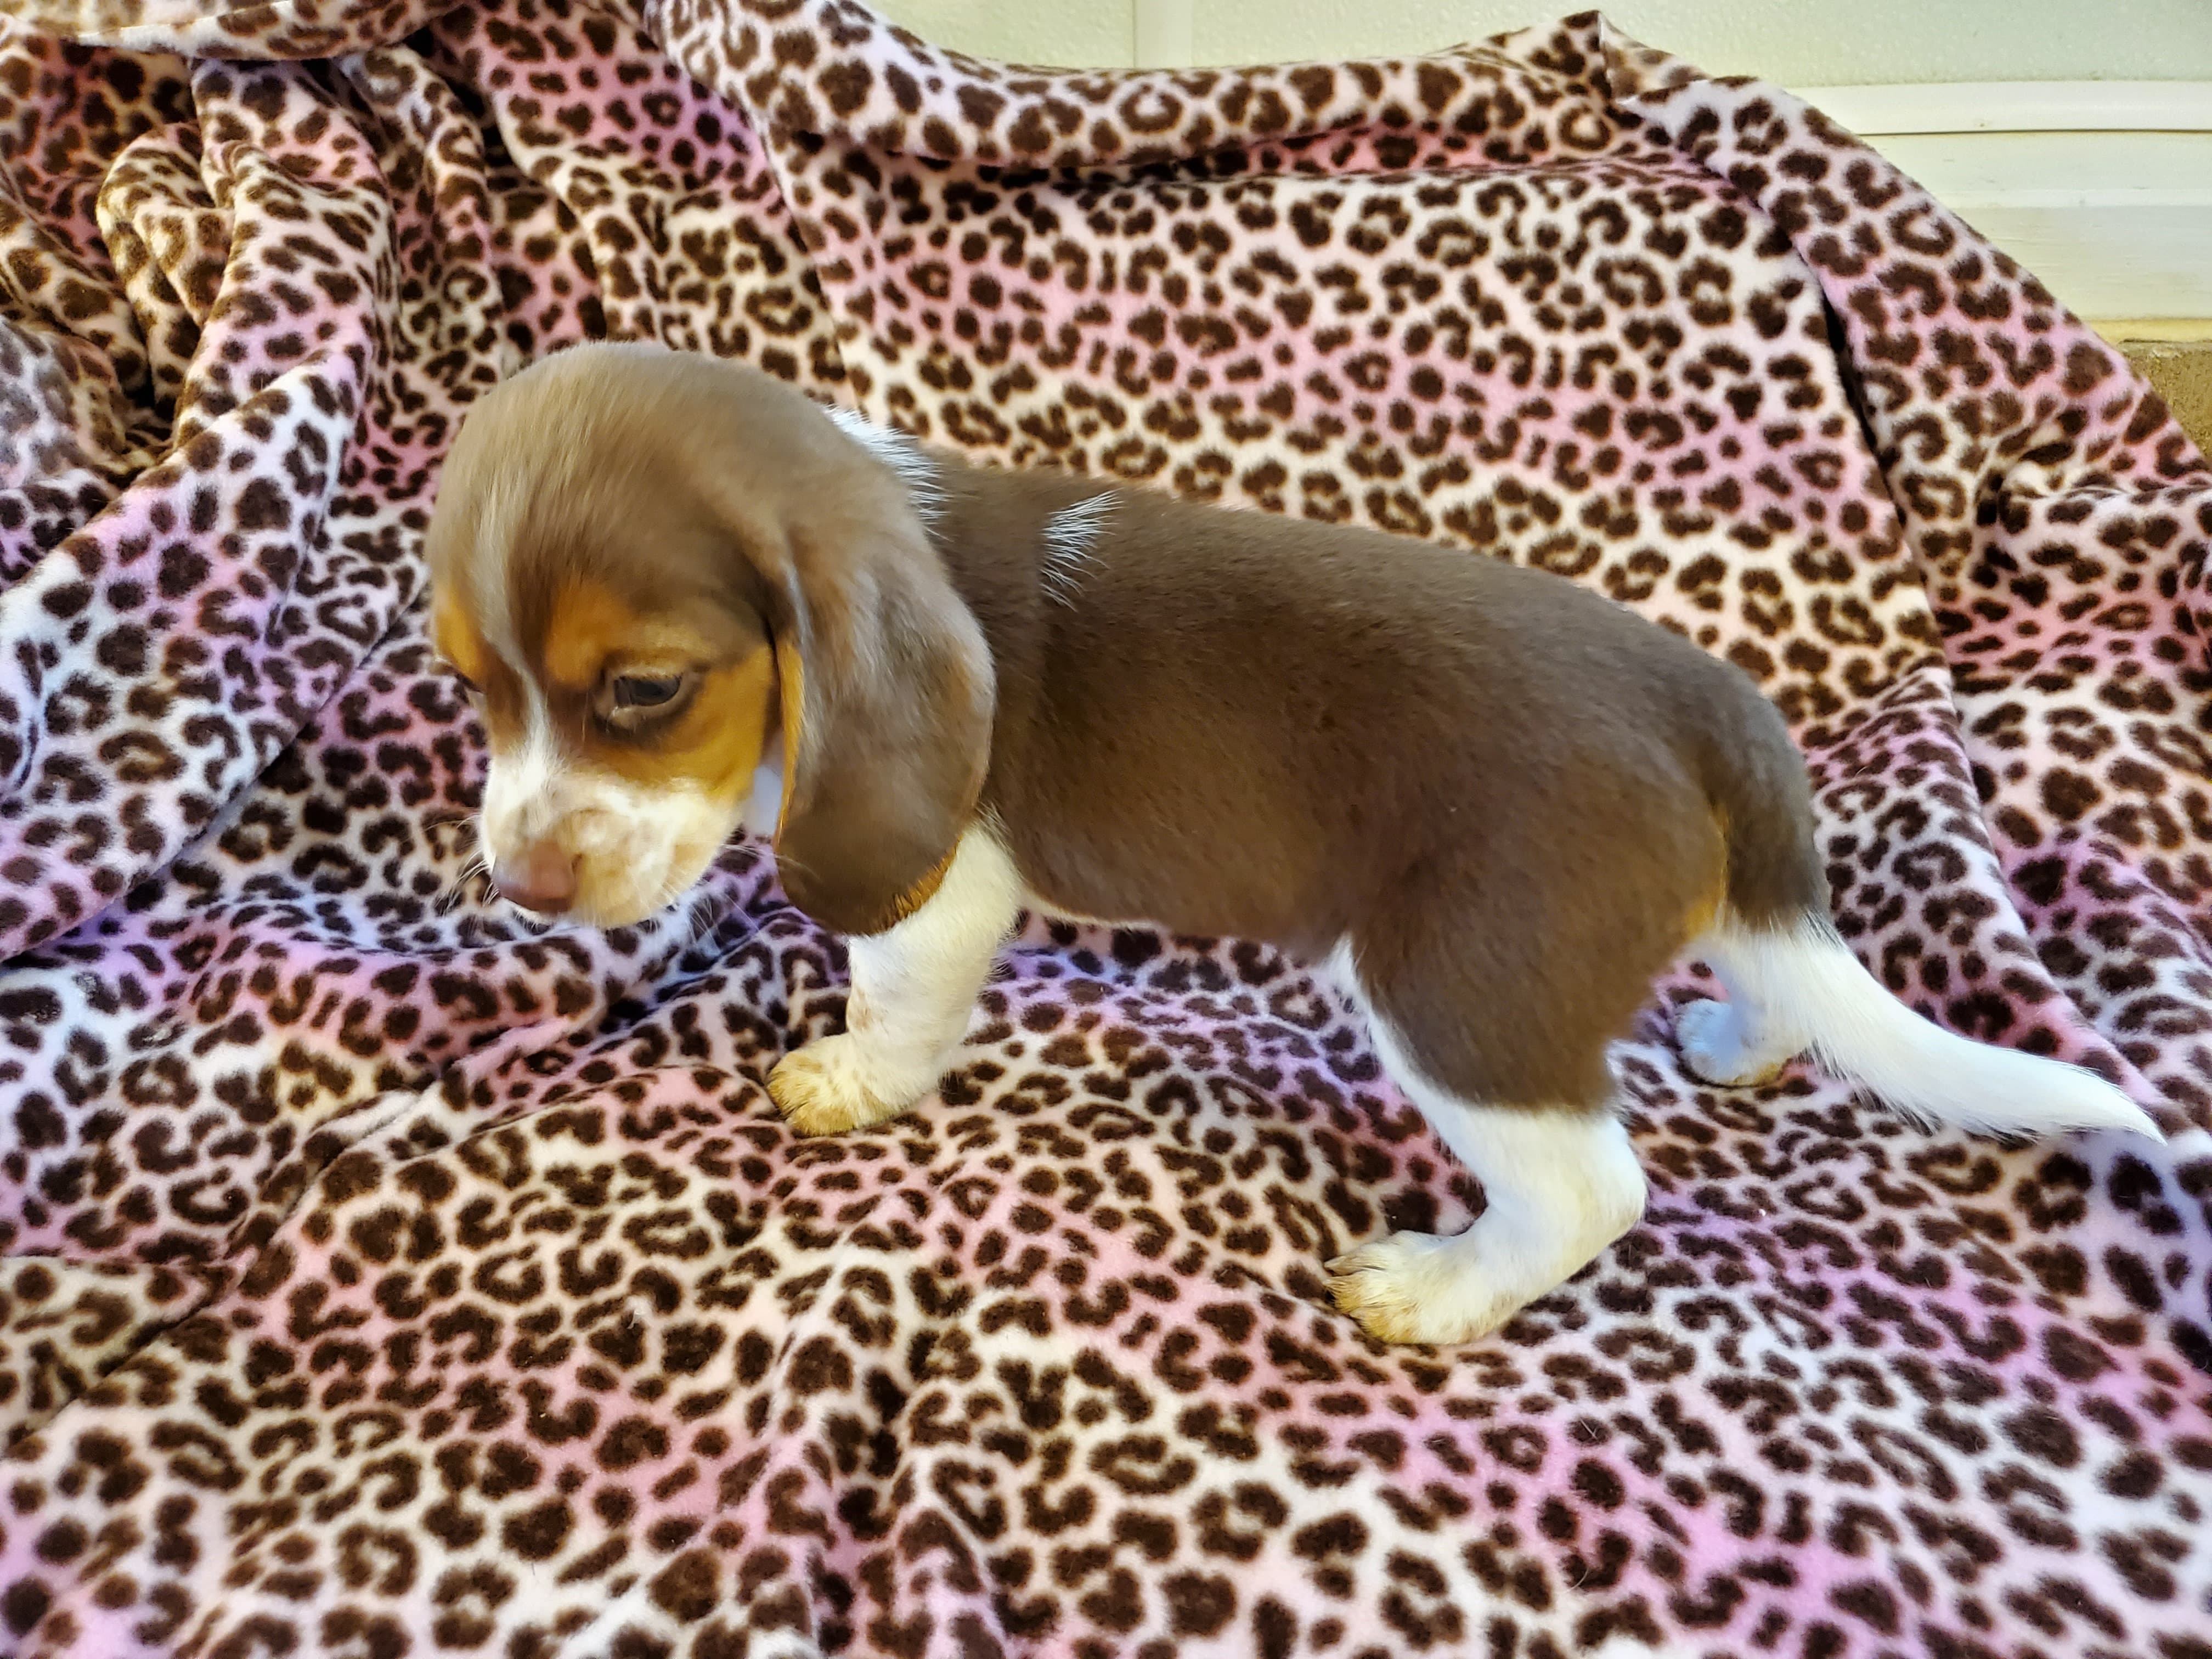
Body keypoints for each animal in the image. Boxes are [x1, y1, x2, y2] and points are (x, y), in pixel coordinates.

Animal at [423, 341, 2160, 1345]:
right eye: (469, 686)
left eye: (645, 691)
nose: (523, 885)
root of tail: (1712, 704)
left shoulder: (941, 899)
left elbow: (894, 1000)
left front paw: (853, 1081)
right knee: (1777, 974)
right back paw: (1742, 1041)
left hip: (1462, 990)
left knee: (1589, 1188)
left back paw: (1441, 1290)